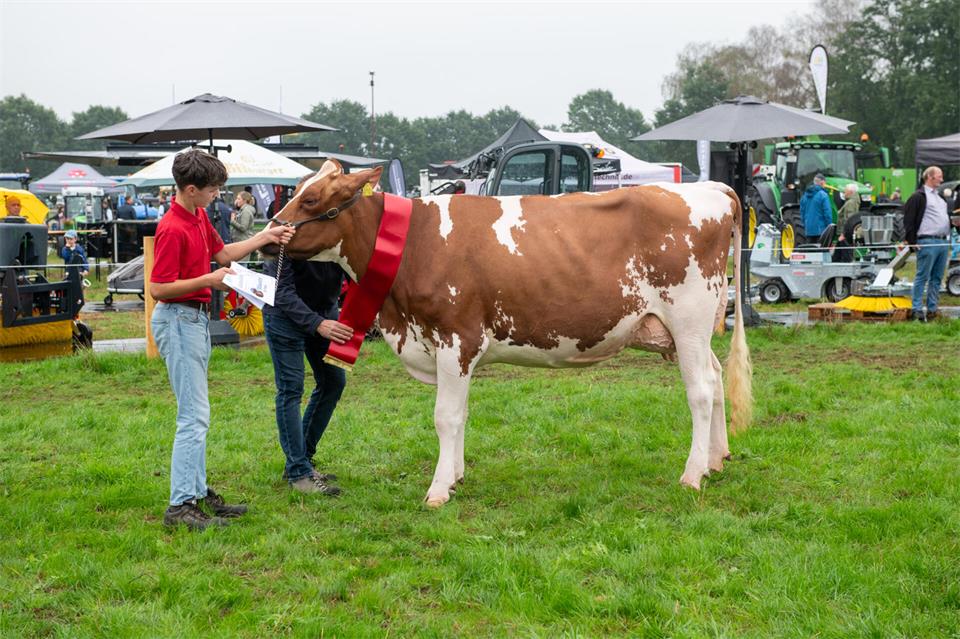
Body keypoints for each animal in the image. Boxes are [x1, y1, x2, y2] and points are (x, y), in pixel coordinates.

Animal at [266, 160, 752, 507]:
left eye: (311, 200)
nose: (270, 238)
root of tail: (711, 188)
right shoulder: (455, 349)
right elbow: (461, 414)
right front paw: (456, 477)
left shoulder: (455, 338)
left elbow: (445, 416)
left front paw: (438, 490)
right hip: (691, 331)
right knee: (715, 377)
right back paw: (717, 460)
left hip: (688, 320)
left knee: (701, 390)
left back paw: (692, 474)